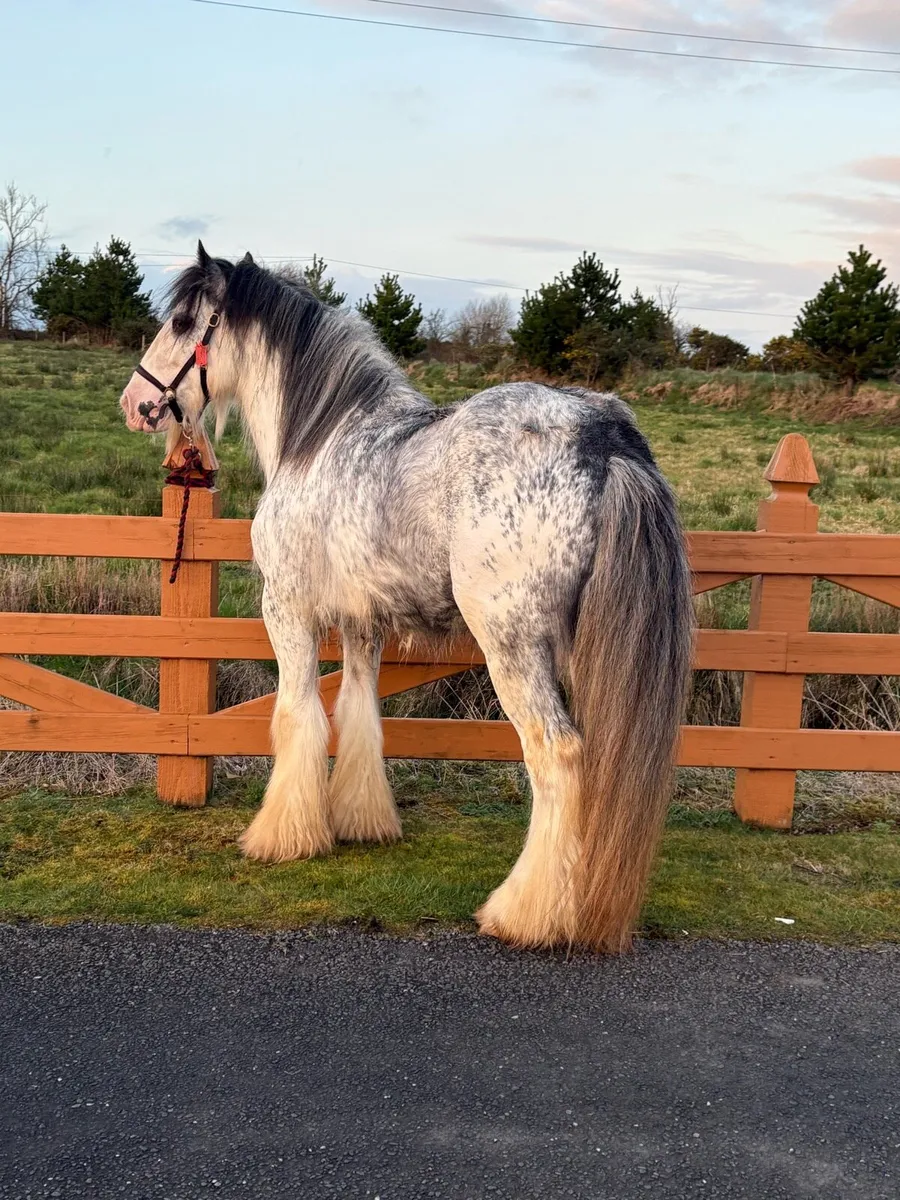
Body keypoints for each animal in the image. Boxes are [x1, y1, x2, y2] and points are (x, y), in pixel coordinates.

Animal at [120, 243, 693, 953]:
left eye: (179, 322)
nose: (134, 402)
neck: (320, 438)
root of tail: (603, 437)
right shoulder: (363, 623)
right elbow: (358, 715)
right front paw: (360, 821)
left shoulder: (288, 610)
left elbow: (297, 717)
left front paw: (281, 837)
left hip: (514, 649)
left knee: (558, 756)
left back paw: (525, 913)